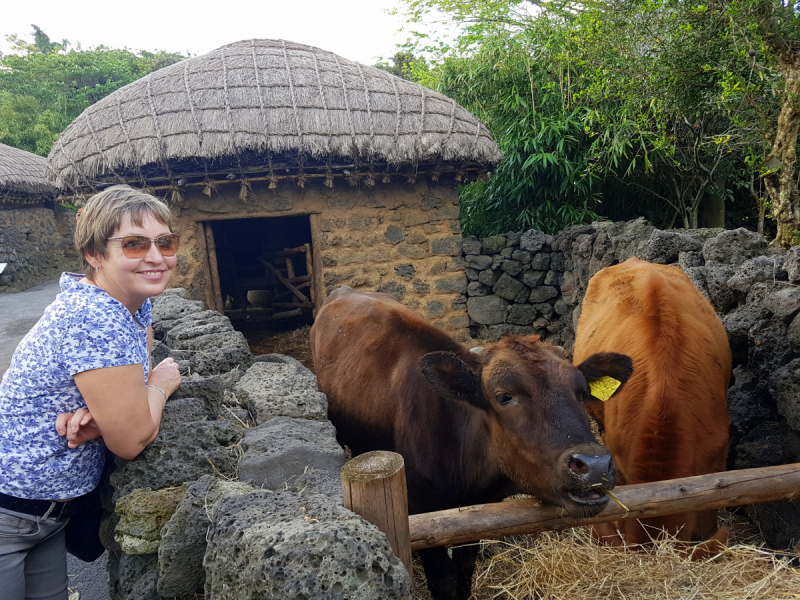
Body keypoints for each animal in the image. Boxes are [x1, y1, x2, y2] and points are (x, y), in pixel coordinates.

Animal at [310, 286, 632, 600]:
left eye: (581, 391)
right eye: (504, 396)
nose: (594, 465)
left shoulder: (476, 511)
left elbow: (465, 569)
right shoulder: (419, 512)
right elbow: (444, 580)